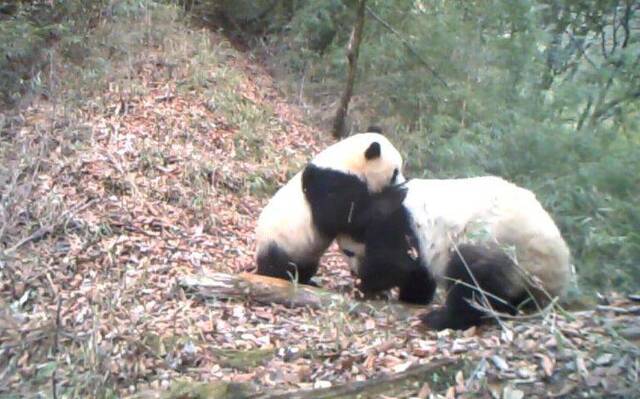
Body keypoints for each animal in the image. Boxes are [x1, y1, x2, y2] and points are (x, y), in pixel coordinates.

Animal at [256, 133, 402, 286]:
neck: (347, 161)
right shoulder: (330, 183)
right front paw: (396, 195)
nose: (402, 181)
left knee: (307, 267)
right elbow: (342, 218)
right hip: (280, 243)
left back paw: (307, 281)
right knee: (279, 267)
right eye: (395, 173)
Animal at [338, 177, 572, 332]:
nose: (353, 270)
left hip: (497, 243)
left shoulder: (399, 224)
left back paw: (440, 319)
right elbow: (417, 272)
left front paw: (360, 287)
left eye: (347, 252)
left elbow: (393, 264)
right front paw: (412, 297)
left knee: (472, 281)